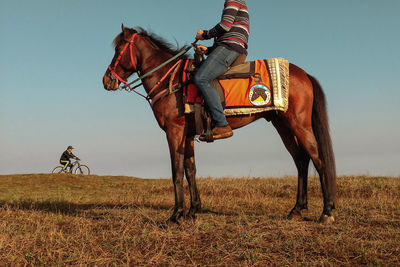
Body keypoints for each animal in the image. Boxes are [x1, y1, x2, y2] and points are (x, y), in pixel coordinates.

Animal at [101, 25, 336, 225]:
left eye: (118, 49)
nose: (106, 80)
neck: (171, 80)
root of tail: (304, 74)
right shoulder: (187, 134)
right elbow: (191, 170)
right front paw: (193, 211)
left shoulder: (174, 131)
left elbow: (177, 171)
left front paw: (176, 214)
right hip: (283, 126)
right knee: (301, 160)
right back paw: (297, 209)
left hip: (299, 125)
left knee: (318, 159)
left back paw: (326, 212)